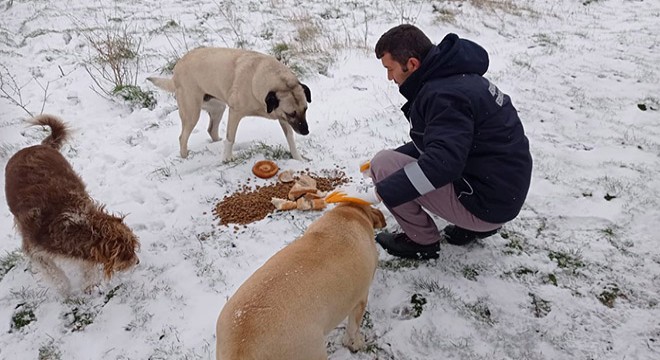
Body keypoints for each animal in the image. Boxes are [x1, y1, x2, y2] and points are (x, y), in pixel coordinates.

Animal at [4, 114, 141, 294]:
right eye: (126, 253)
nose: (137, 261)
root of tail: (39, 145)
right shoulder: (35, 251)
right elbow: (55, 274)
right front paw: (66, 291)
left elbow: (87, 266)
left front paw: (89, 286)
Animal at [148, 47, 314, 161]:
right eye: (291, 113)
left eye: (306, 109)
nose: (306, 131)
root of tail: (176, 69)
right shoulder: (235, 112)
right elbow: (230, 138)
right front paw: (227, 159)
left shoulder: (282, 118)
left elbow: (290, 138)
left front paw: (298, 158)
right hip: (192, 113)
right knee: (182, 137)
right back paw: (185, 158)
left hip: (218, 108)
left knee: (211, 130)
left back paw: (215, 143)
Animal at [217, 202, 384, 360]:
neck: (349, 214)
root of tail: (241, 348)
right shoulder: (361, 298)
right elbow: (353, 328)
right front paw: (356, 344)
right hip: (311, 350)